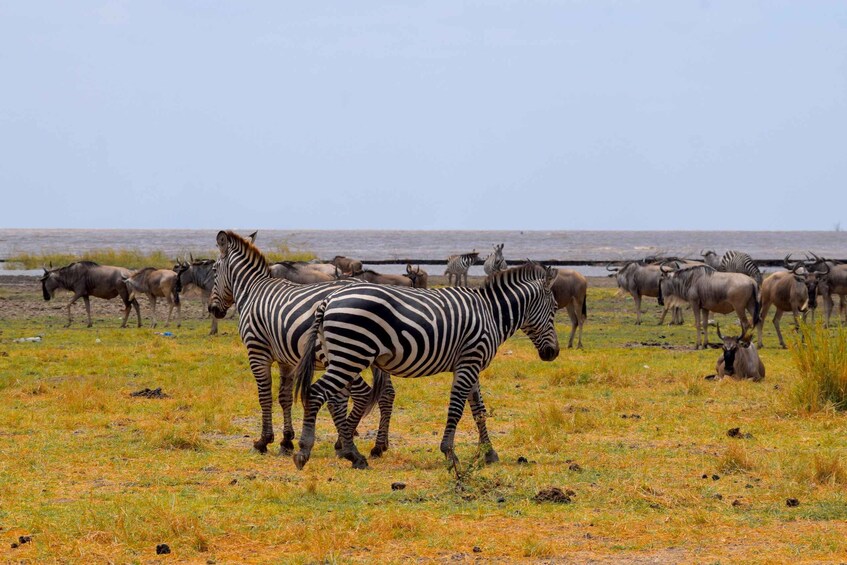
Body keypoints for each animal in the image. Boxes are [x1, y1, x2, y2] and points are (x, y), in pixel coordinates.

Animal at [208, 230, 395, 461]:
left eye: (214, 270)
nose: (213, 309)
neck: (252, 291)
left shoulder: (257, 352)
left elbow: (264, 396)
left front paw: (263, 441)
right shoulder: (285, 359)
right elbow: (284, 397)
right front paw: (286, 441)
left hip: (346, 355)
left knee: (361, 393)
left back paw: (345, 445)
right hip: (374, 357)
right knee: (386, 394)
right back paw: (378, 446)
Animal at [291, 262, 560, 471]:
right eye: (555, 309)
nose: (554, 353)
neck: (491, 314)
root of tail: (328, 299)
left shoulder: (471, 363)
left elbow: (479, 410)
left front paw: (489, 453)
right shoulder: (469, 361)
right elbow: (457, 409)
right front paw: (450, 454)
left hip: (340, 355)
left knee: (330, 396)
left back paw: (350, 453)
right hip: (351, 354)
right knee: (316, 393)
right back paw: (313, 451)